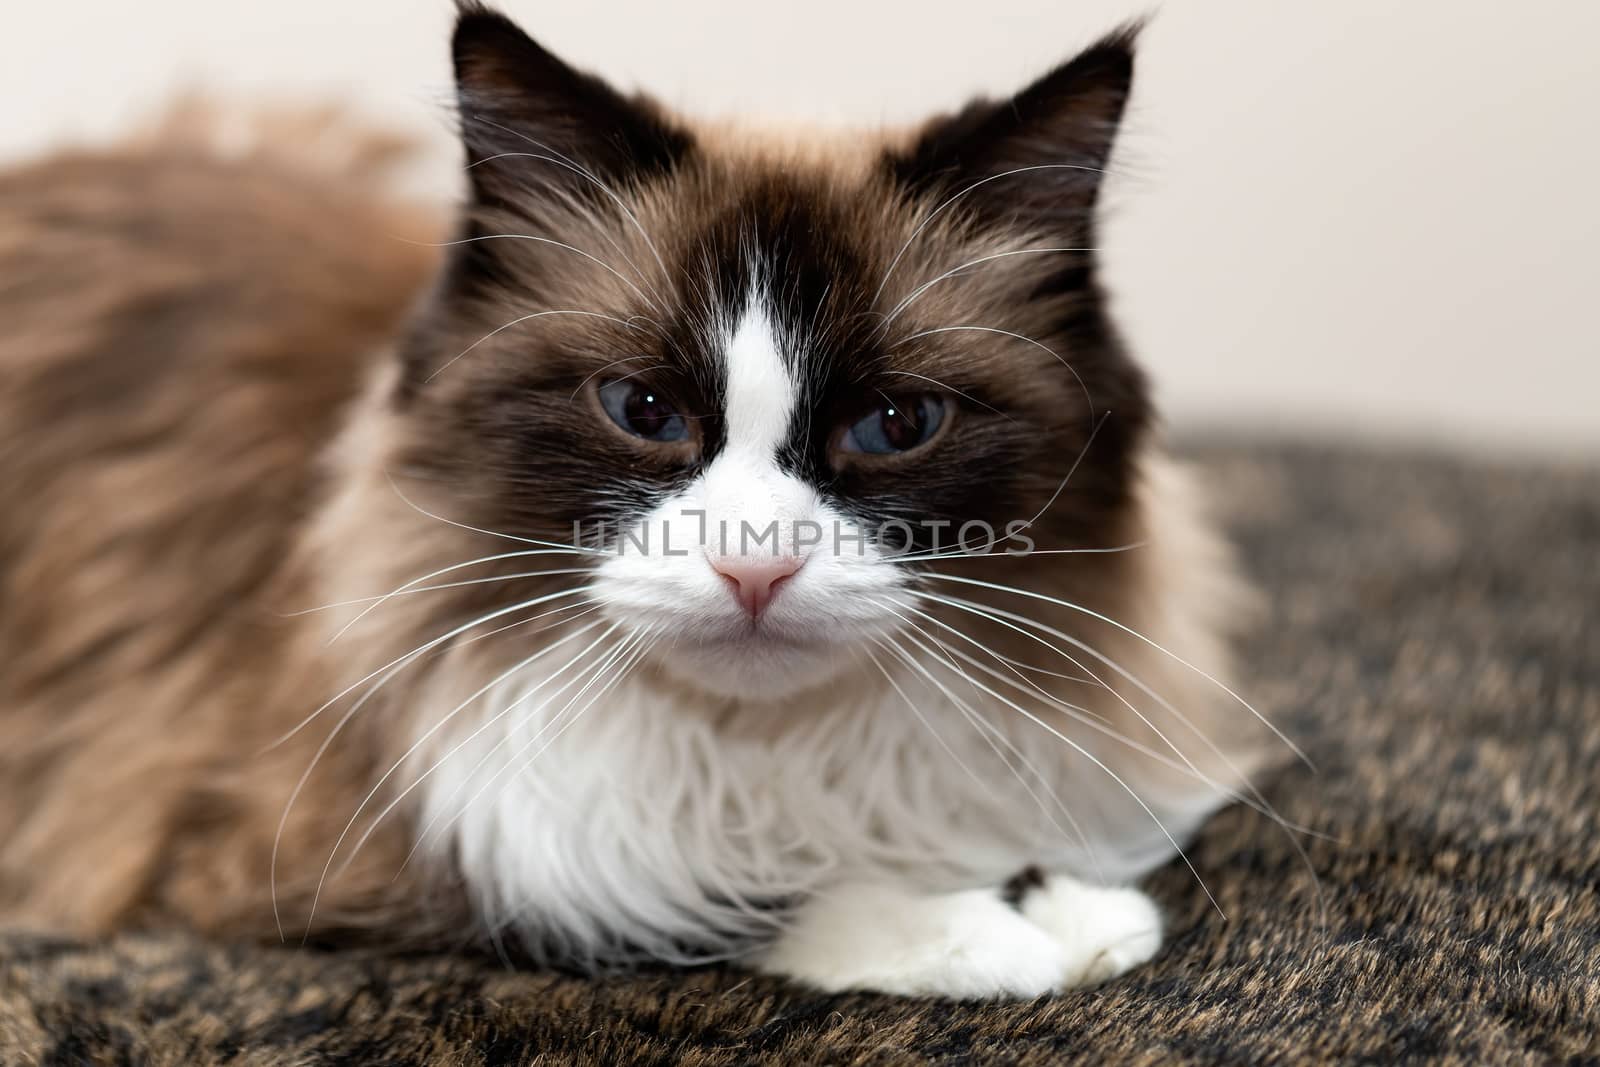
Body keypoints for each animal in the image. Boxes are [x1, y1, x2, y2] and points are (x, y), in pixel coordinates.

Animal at [0, 4, 1273, 998]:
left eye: (896, 425)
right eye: (645, 409)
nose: (754, 566)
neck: (762, 748)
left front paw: (1069, 905)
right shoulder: (297, 841)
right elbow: (671, 893)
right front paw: (990, 933)